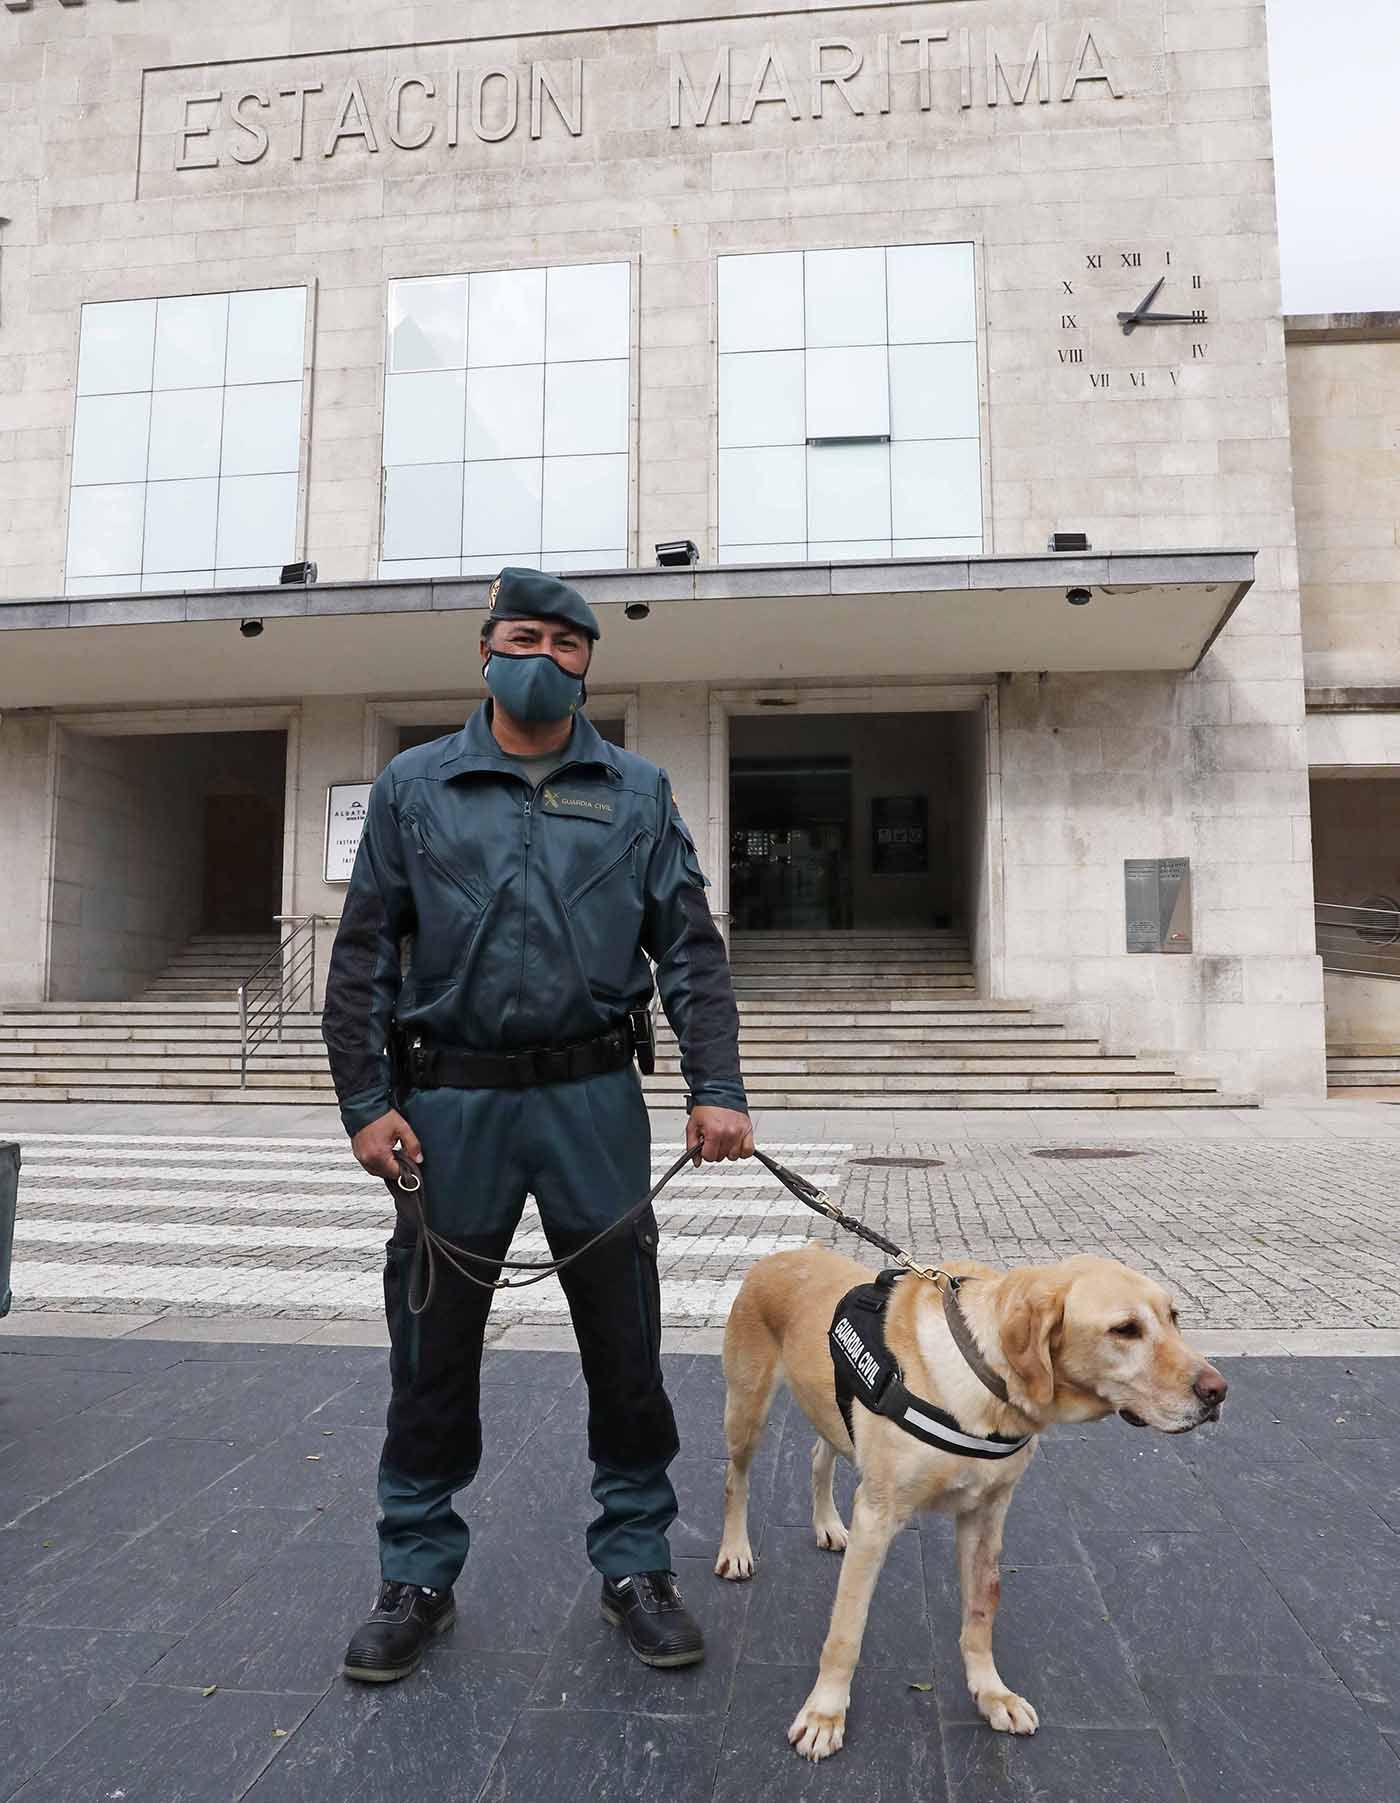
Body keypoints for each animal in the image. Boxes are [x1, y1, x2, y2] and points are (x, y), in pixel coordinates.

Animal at [710, 1247, 1226, 1752]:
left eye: (1174, 1317)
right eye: (1125, 1329)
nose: (1218, 1392)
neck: (982, 1382)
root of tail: (782, 1253)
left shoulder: (986, 1515)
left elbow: (981, 1615)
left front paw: (992, 1693)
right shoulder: (876, 1517)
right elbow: (846, 1632)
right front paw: (825, 1714)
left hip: (832, 1419)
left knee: (819, 1457)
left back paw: (827, 1524)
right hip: (747, 1411)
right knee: (736, 1479)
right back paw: (735, 1551)